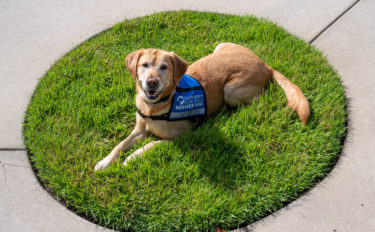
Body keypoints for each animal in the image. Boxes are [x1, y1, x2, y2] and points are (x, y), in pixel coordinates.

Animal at [93, 42, 308, 171]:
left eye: (164, 67)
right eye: (144, 65)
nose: (151, 82)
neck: (154, 107)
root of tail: (264, 64)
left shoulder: (179, 138)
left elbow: (150, 145)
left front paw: (132, 158)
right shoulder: (139, 130)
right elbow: (120, 144)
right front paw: (105, 162)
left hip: (230, 90)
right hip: (220, 45)